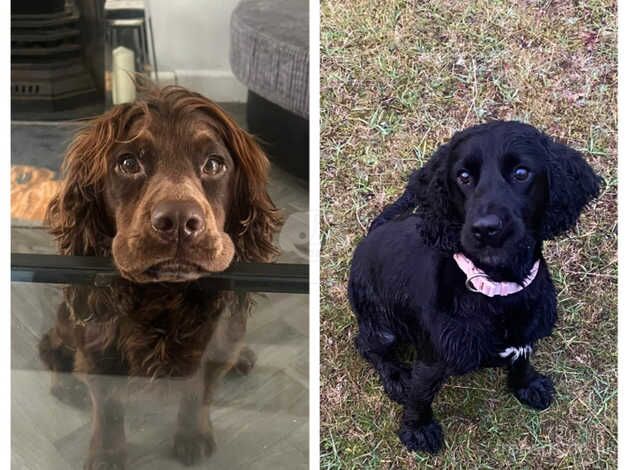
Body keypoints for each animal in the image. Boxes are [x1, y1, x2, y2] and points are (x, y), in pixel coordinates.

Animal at [350, 121, 600, 456]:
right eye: (464, 177)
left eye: (521, 173)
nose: (486, 229)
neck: (496, 289)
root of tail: (373, 232)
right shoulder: (431, 360)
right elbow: (420, 395)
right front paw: (418, 430)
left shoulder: (526, 336)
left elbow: (522, 359)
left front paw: (527, 385)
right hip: (382, 325)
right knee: (366, 344)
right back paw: (396, 375)